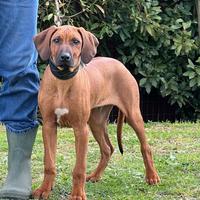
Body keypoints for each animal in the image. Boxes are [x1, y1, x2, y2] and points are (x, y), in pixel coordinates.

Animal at [32, 25, 161, 199]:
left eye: (76, 41)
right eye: (56, 40)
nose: (65, 57)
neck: (63, 81)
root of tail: (119, 63)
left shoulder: (81, 129)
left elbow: (79, 168)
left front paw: (77, 194)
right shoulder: (48, 126)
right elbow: (49, 163)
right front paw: (44, 189)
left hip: (133, 114)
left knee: (145, 147)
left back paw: (152, 177)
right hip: (96, 122)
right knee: (107, 149)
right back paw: (95, 176)